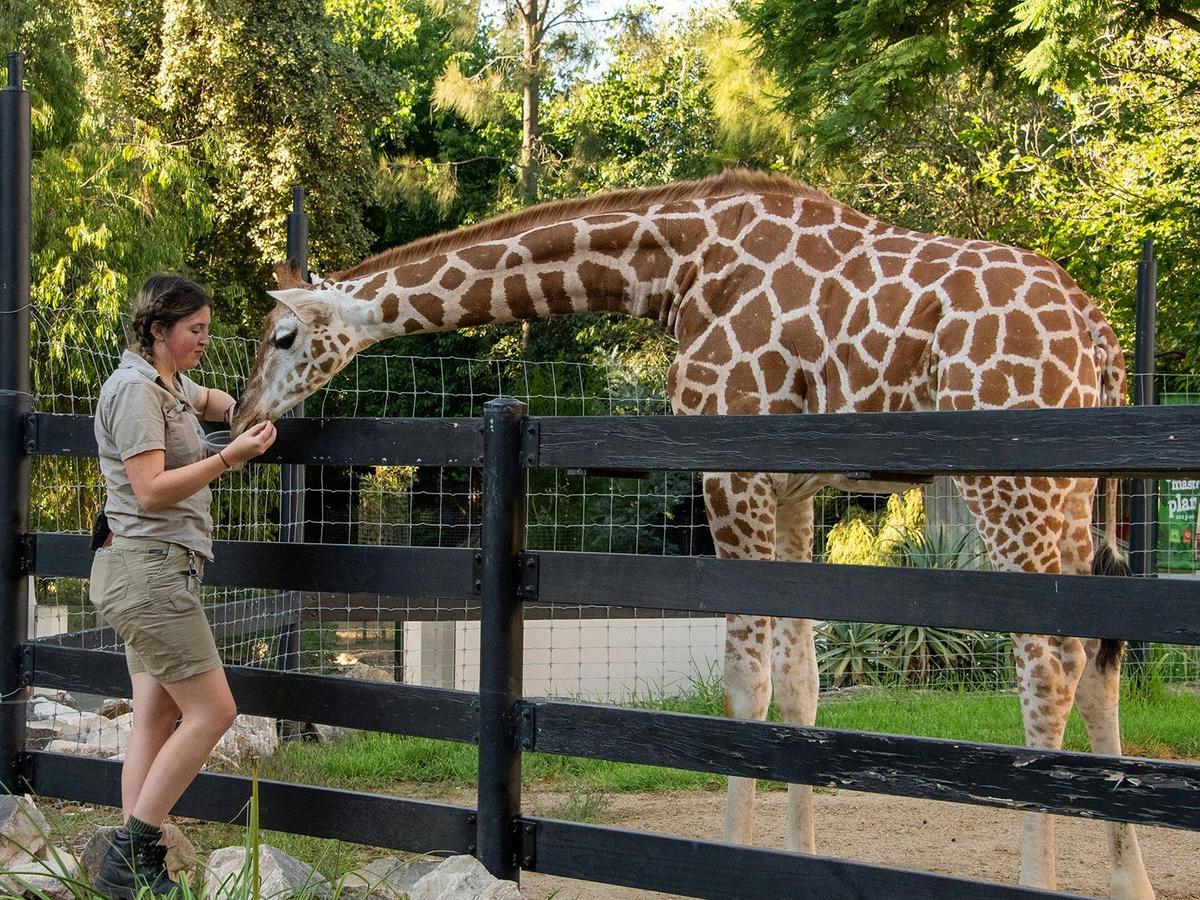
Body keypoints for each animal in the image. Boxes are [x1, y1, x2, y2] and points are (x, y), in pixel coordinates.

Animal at [232, 170, 1153, 898]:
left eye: (283, 334)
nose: (242, 416)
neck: (674, 268)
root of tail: (1100, 334)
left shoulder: (729, 468)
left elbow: (745, 688)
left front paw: (733, 864)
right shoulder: (795, 488)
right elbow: (800, 682)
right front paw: (795, 864)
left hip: (1012, 479)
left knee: (1048, 664)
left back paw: (1043, 880)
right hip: (1074, 493)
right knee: (1100, 654)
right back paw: (1128, 881)